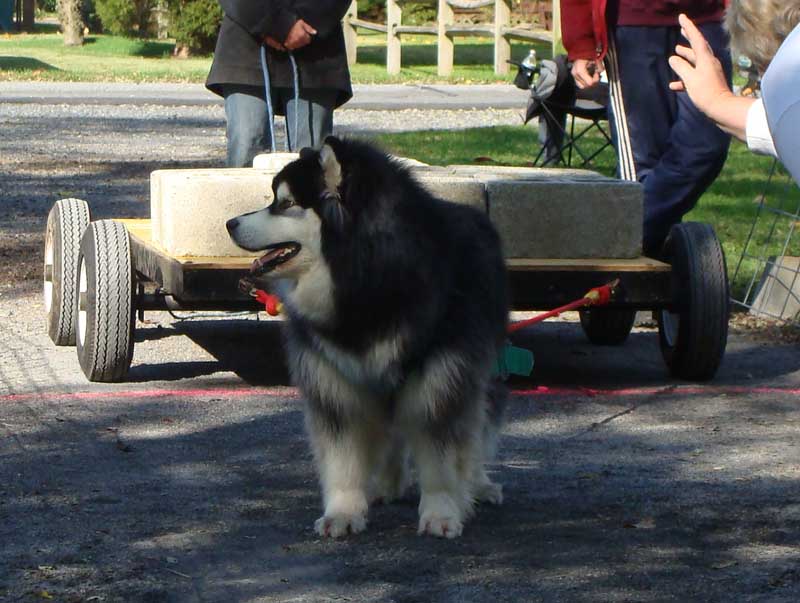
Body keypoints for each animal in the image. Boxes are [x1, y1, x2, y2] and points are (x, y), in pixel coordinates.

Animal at [228, 138, 510, 544]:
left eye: (285, 203)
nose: (229, 223)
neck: (368, 282)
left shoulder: (441, 379)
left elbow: (442, 458)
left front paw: (442, 511)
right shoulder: (335, 383)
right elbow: (343, 459)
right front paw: (344, 511)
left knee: (474, 430)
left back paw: (478, 485)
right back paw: (386, 485)